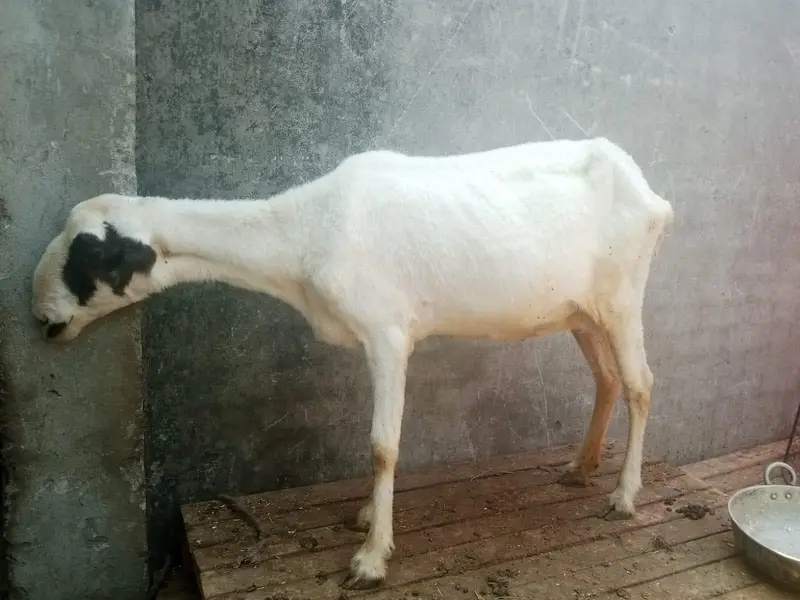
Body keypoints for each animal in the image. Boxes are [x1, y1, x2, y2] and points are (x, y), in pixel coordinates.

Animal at [31, 136, 674, 589]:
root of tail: (651, 195)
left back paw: (623, 496)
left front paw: (370, 559)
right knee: (607, 380)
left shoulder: (387, 334)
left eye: (92, 255)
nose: (42, 317)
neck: (304, 233)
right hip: (583, 313)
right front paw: (366, 519)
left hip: (622, 298)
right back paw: (581, 468)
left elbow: (382, 445)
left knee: (640, 384)